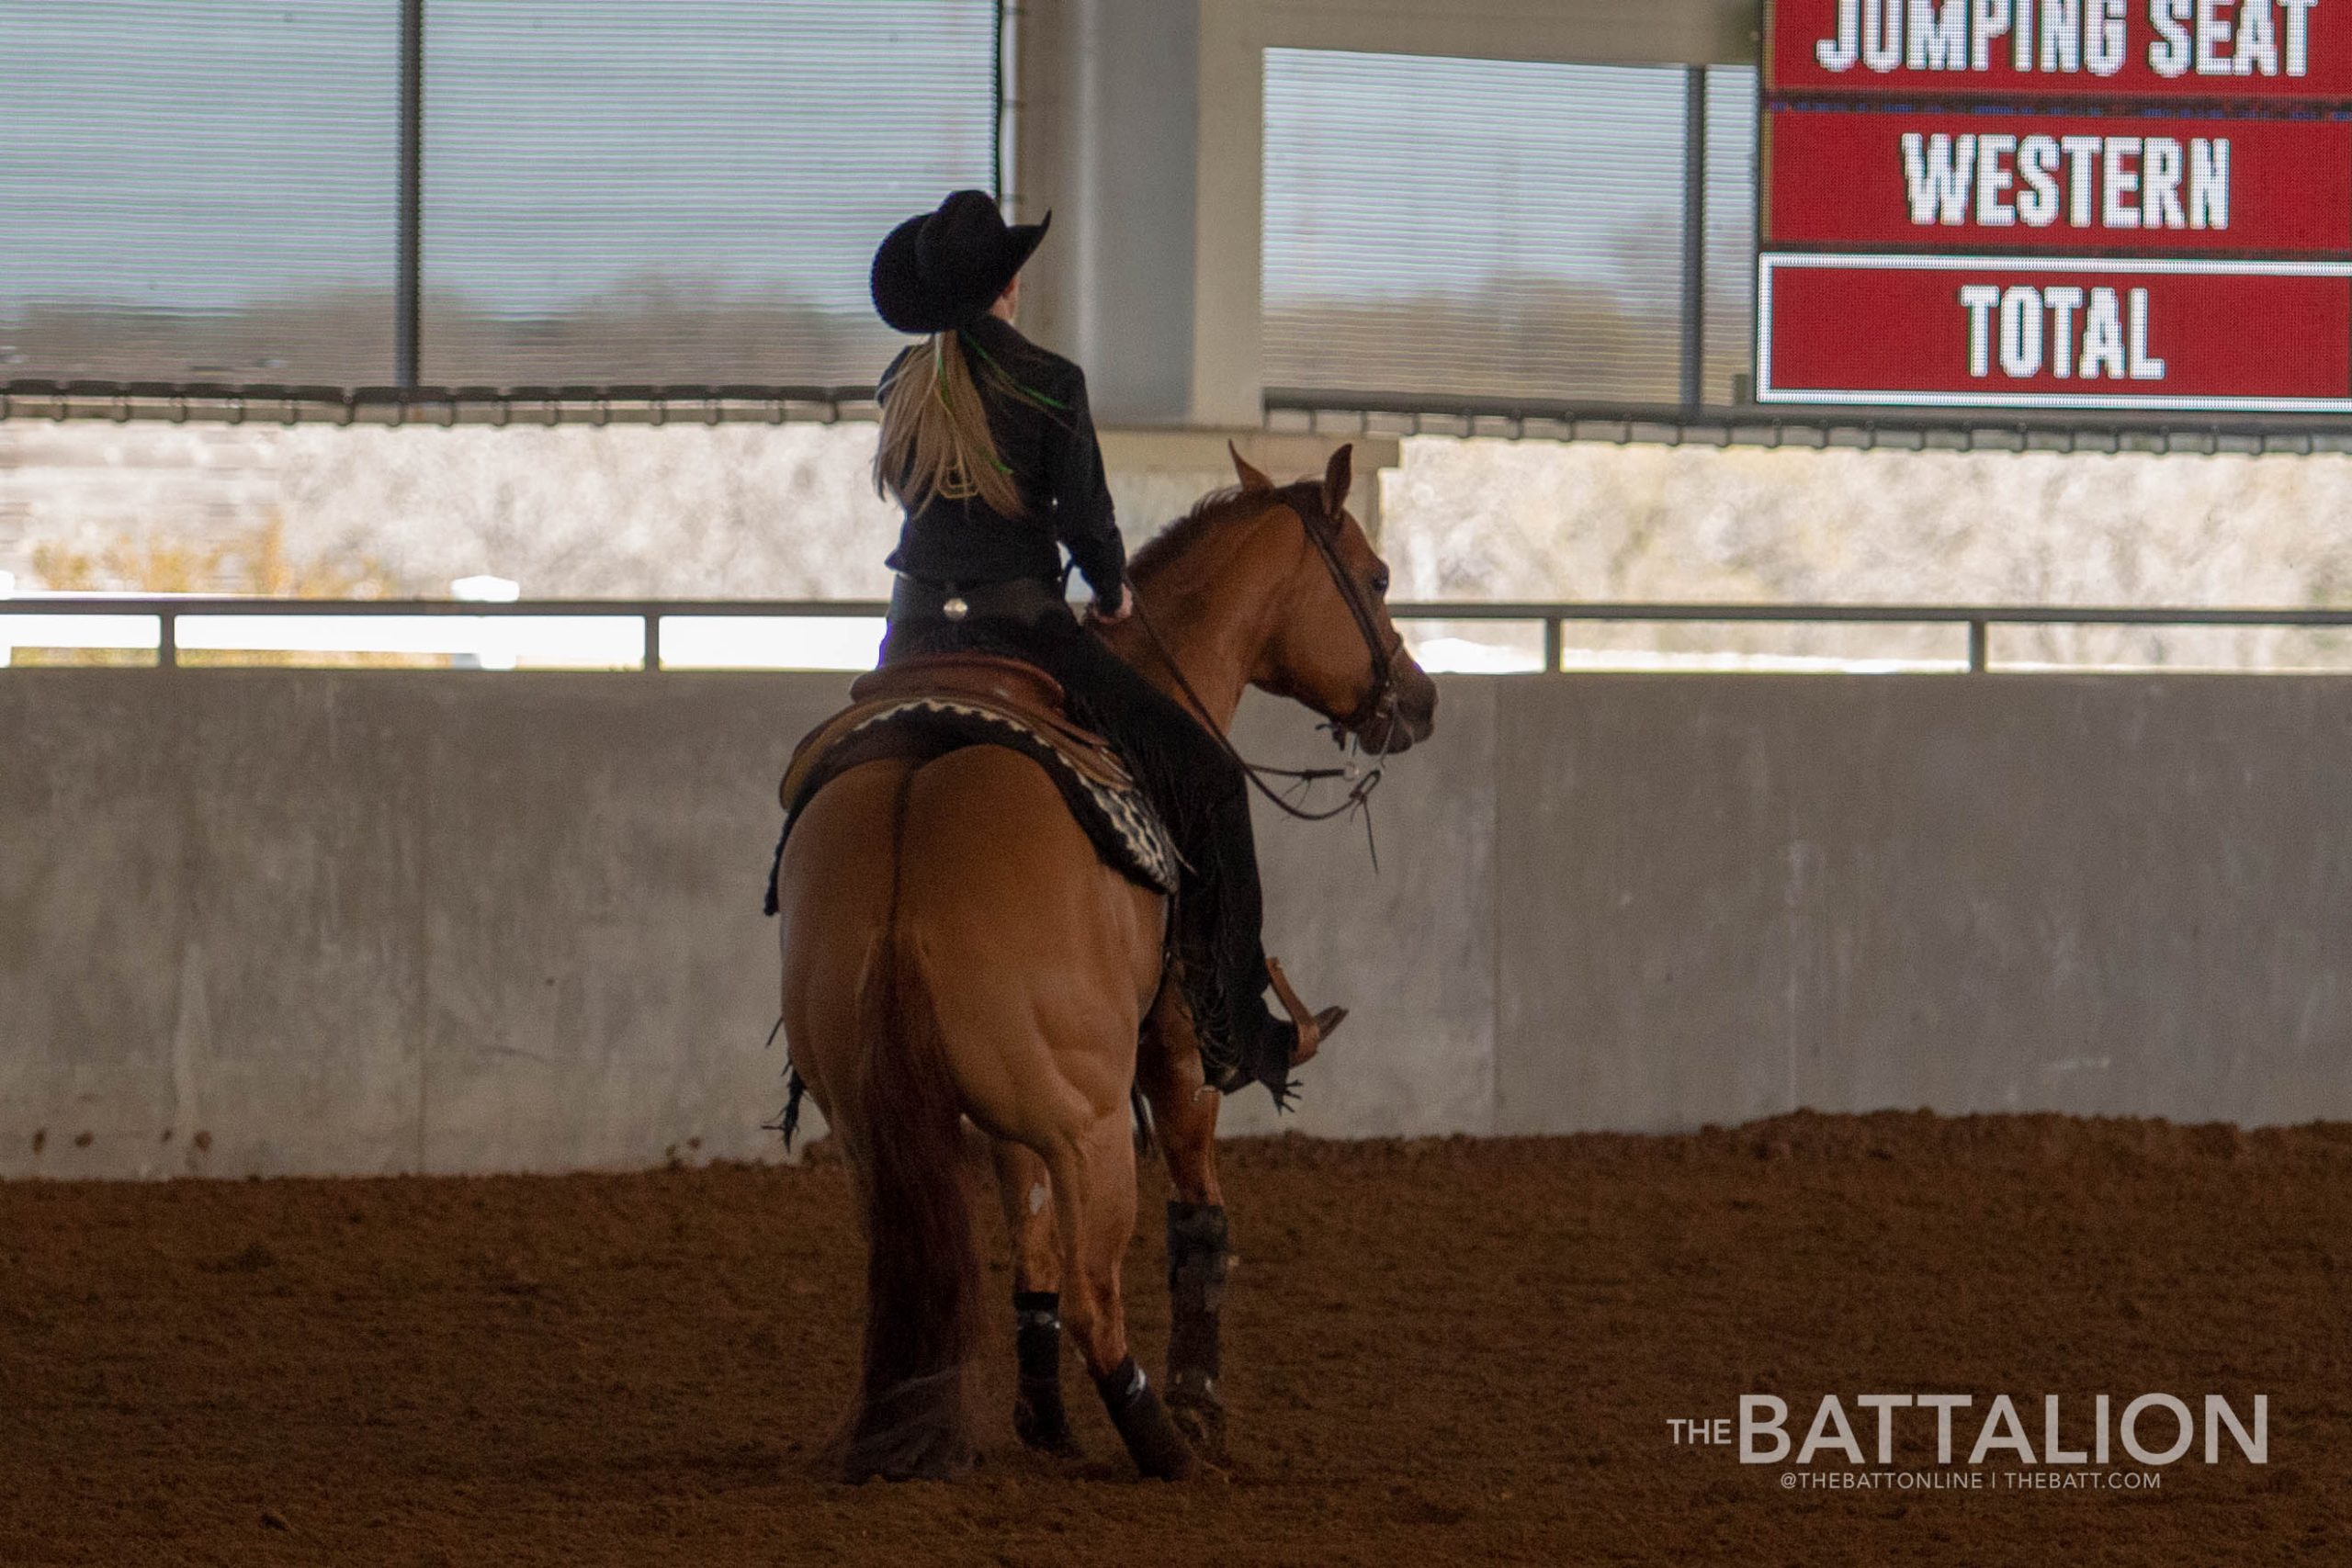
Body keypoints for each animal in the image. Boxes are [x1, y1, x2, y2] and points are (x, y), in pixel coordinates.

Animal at [775, 444, 1430, 1485]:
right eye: (1374, 578)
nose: (1420, 700)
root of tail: (913, 814)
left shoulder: (1007, 1120)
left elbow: (1031, 1245)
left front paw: (1043, 1419)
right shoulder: (1175, 1050)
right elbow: (1200, 1220)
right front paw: (1201, 1404)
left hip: (872, 1122)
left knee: (923, 1272)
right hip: (1088, 1124)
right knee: (1097, 1292)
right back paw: (1165, 1444)